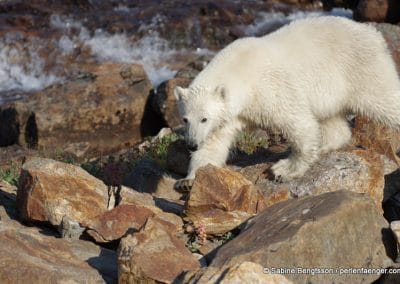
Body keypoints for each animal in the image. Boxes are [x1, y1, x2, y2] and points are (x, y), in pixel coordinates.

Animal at [175, 15, 400, 189]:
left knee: (385, 100)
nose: (191, 144)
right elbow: (214, 143)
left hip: (363, 69)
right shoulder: (231, 114)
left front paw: (284, 169)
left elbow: (298, 122)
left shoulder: (269, 88)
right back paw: (326, 145)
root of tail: (372, 32)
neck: (240, 68)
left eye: (204, 118)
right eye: (185, 119)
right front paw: (188, 180)